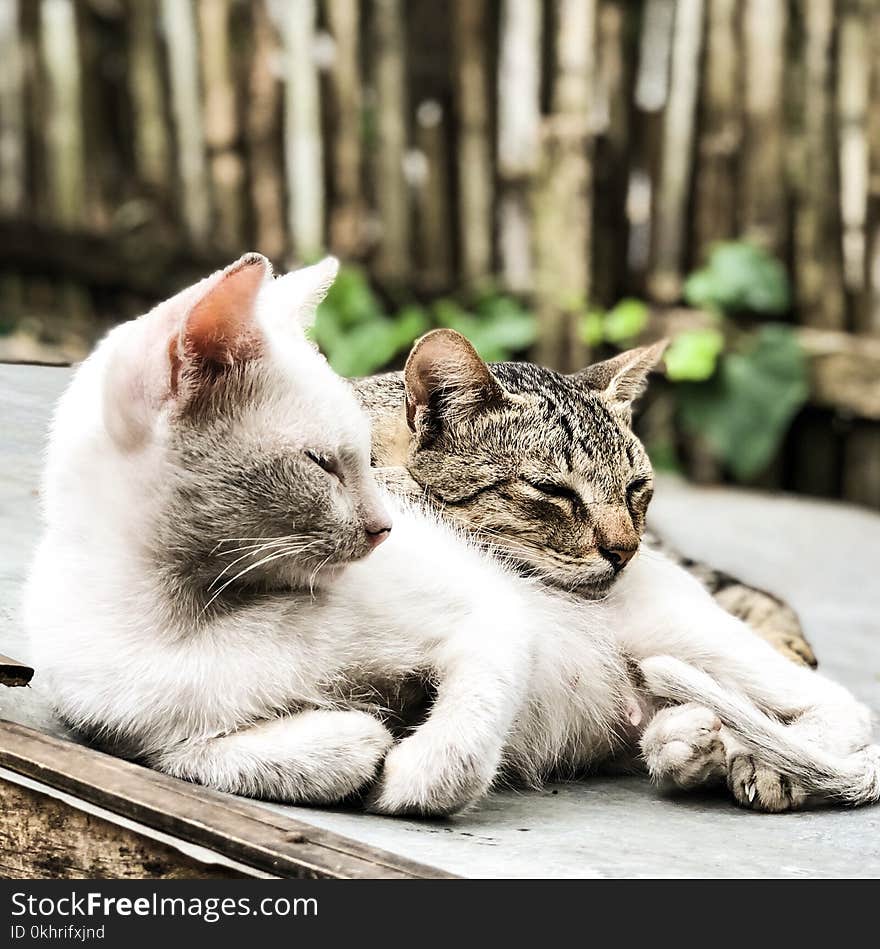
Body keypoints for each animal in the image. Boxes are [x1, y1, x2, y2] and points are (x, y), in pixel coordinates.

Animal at [24, 254, 876, 816]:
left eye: (637, 490)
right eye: (552, 493)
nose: (626, 548)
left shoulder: (491, 615)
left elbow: (459, 740)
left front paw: (412, 771)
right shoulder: (141, 730)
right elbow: (223, 752)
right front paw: (350, 744)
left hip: (686, 628)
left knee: (831, 701)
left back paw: (758, 750)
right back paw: (690, 738)